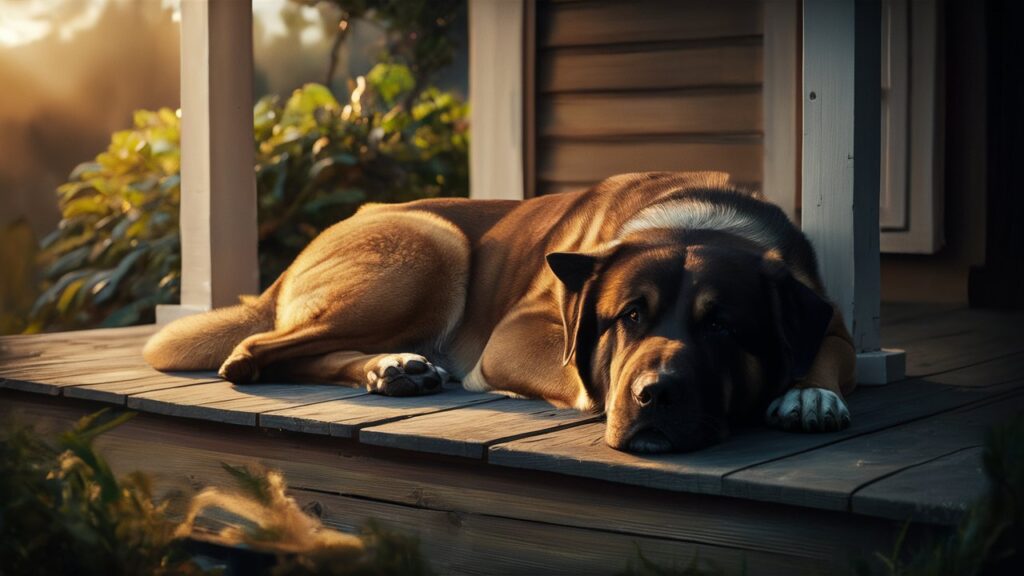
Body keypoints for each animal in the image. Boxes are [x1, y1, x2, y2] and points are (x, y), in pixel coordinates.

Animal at [146, 170, 856, 453]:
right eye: (628, 317)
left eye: (723, 327)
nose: (654, 395)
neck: (695, 218)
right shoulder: (518, 334)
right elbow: (577, 369)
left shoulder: (824, 312)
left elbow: (826, 346)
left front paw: (811, 394)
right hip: (433, 248)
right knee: (250, 356)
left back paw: (393, 369)